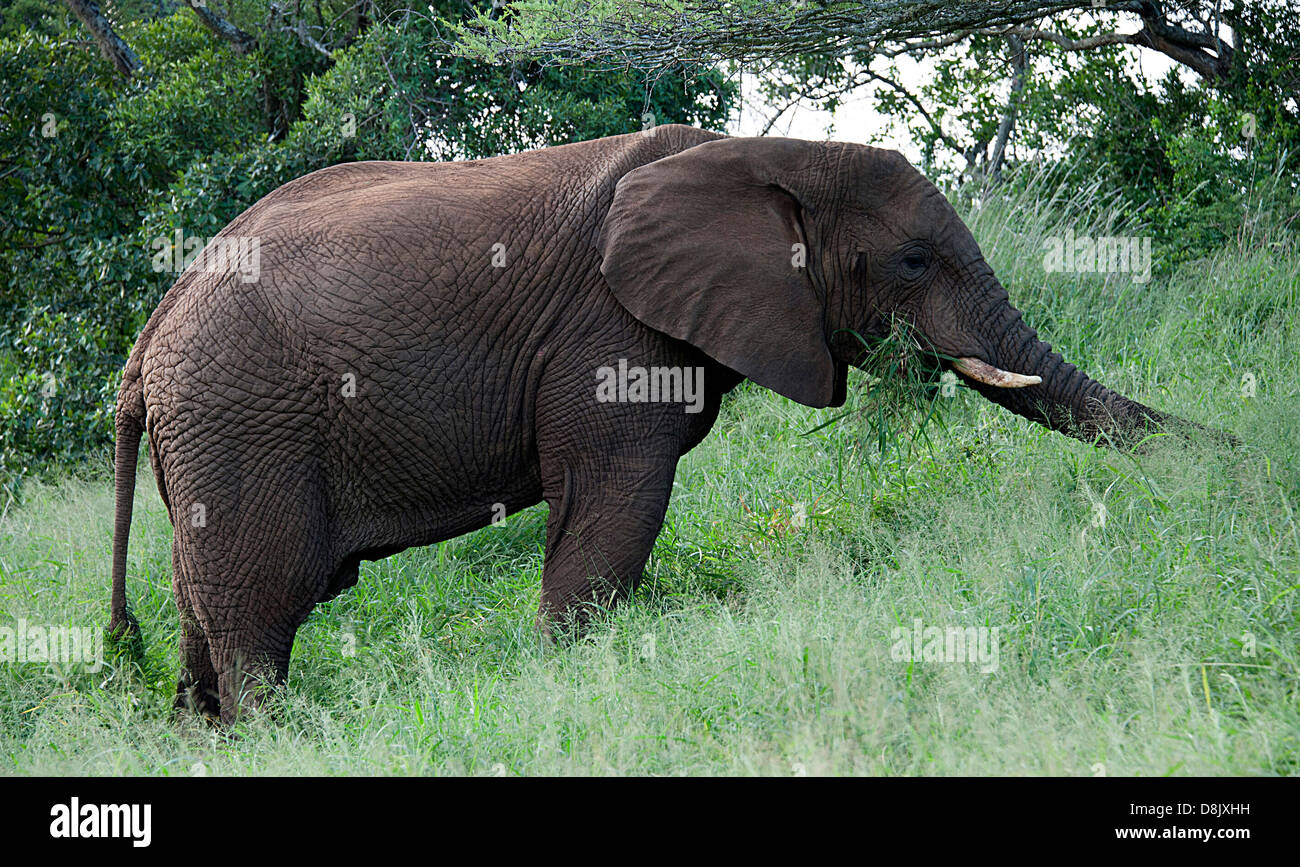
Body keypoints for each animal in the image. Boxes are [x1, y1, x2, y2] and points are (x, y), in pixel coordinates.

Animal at [106, 123, 1222, 727]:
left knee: (204, 617)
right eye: (912, 262)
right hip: (241, 422)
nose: (1235, 459)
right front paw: (572, 679)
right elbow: (614, 501)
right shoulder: (608, 332)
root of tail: (147, 332)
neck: (765, 155)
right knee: (260, 614)